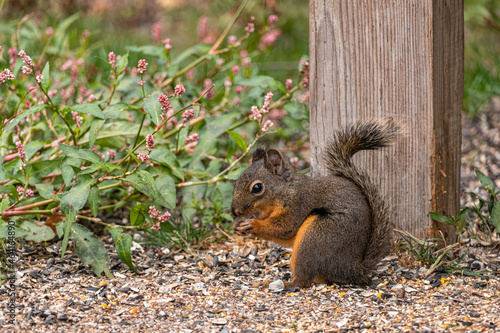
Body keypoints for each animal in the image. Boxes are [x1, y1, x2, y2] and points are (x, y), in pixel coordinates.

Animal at [229, 118, 398, 286]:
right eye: (236, 182)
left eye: (257, 187)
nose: (234, 212)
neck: (285, 191)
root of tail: (351, 270)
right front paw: (239, 225)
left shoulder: (298, 204)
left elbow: (285, 228)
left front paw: (251, 224)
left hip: (315, 236)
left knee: (303, 281)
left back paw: (279, 284)